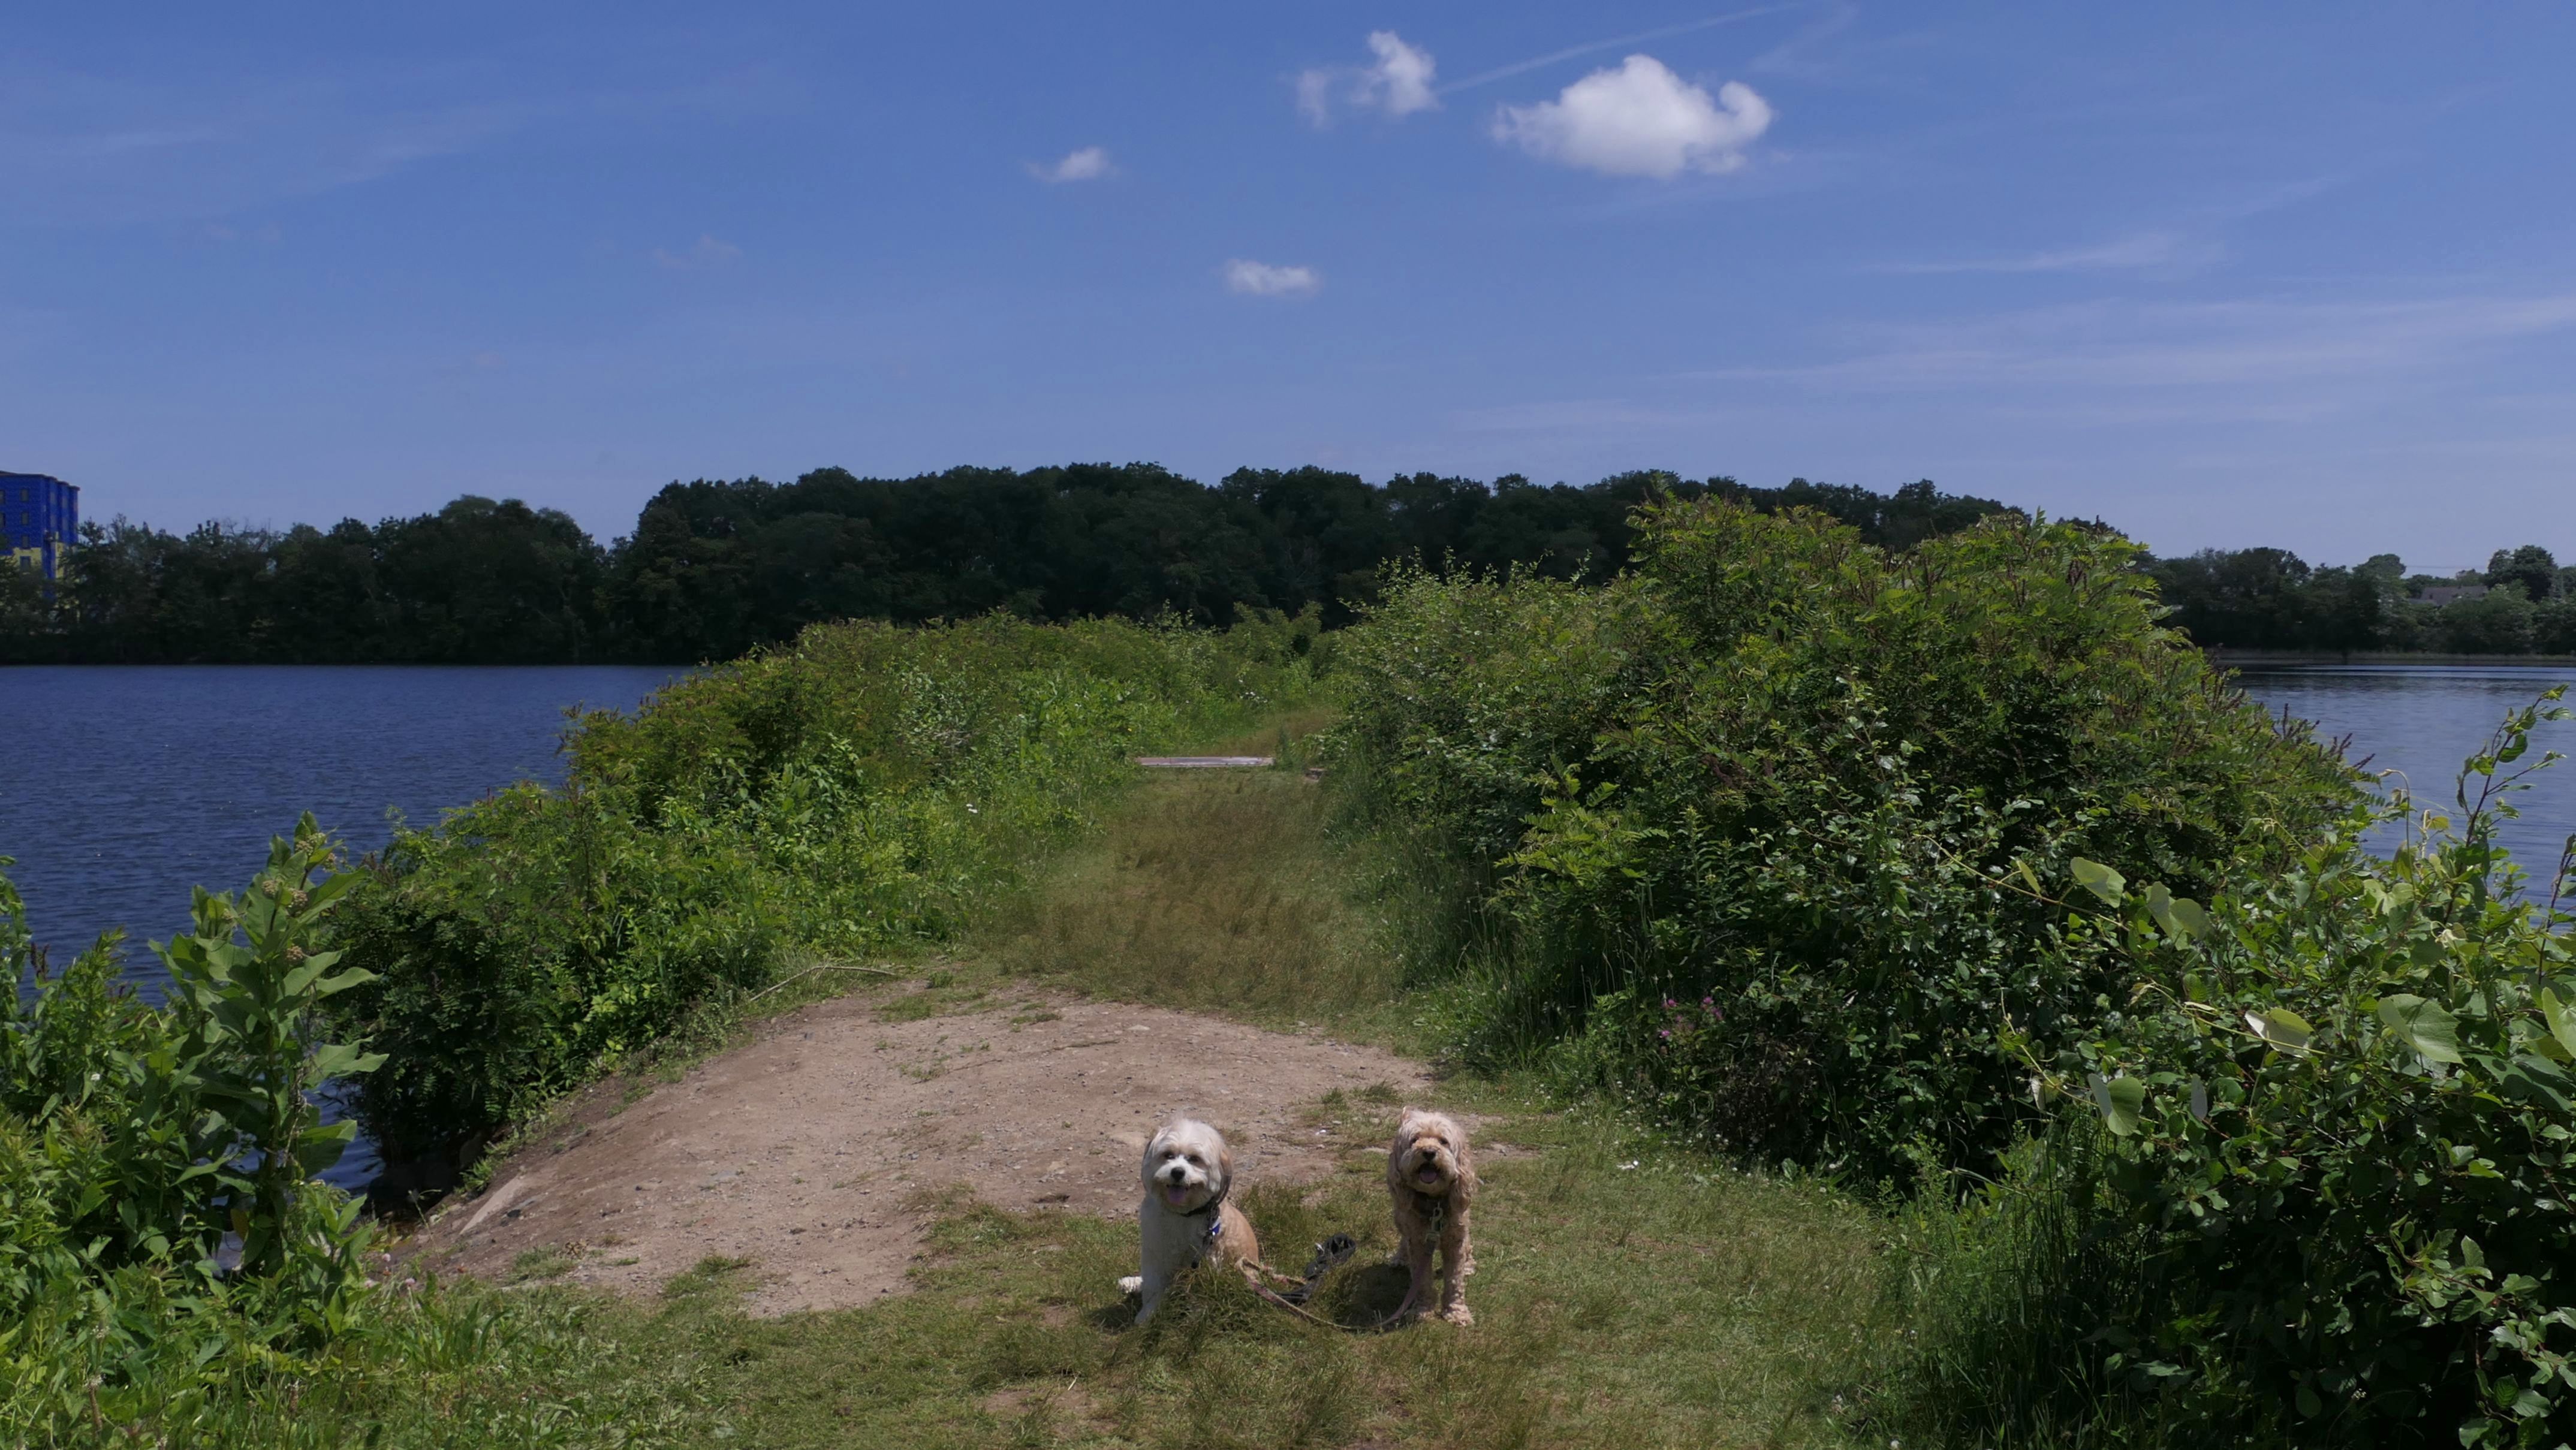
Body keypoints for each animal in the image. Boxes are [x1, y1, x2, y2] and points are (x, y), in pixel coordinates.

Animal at [1117, 1117, 1259, 1325]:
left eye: (1194, 1159)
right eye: (1168, 1155)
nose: (1177, 1172)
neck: (1182, 1214)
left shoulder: (1205, 1259)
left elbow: (1199, 1294)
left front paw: (1194, 1319)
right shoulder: (1155, 1254)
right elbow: (1153, 1288)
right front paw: (1147, 1316)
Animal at [1387, 1107, 1477, 1325]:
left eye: (1443, 1141)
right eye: (1415, 1140)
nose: (1429, 1152)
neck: (1434, 1202)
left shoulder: (1456, 1239)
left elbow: (1455, 1280)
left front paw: (1456, 1312)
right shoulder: (1418, 1241)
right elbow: (1422, 1282)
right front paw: (1423, 1310)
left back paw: (1469, 1264)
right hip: (1400, 1216)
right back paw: (1400, 1258)